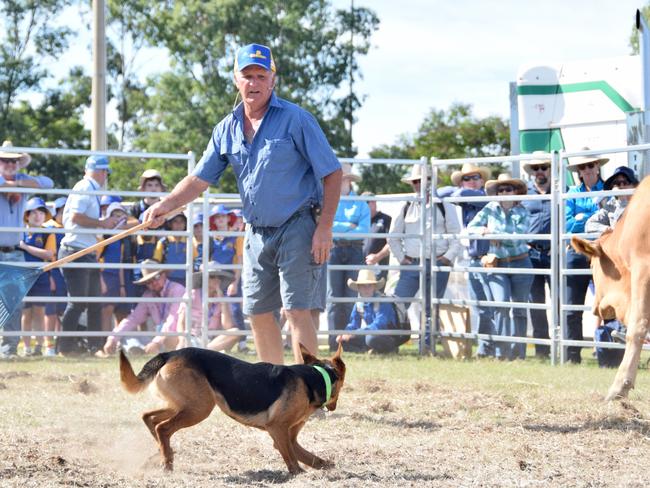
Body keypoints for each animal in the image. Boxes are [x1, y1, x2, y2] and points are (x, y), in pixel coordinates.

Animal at [120, 344, 344, 472]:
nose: (332, 407)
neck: (316, 376)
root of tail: (170, 354)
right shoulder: (278, 429)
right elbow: (293, 460)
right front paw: (299, 474)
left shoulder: (288, 435)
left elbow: (304, 454)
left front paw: (324, 465)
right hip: (199, 408)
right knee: (163, 428)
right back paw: (167, 462)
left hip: (182, 405)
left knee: (149, 418)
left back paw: (163, 453)